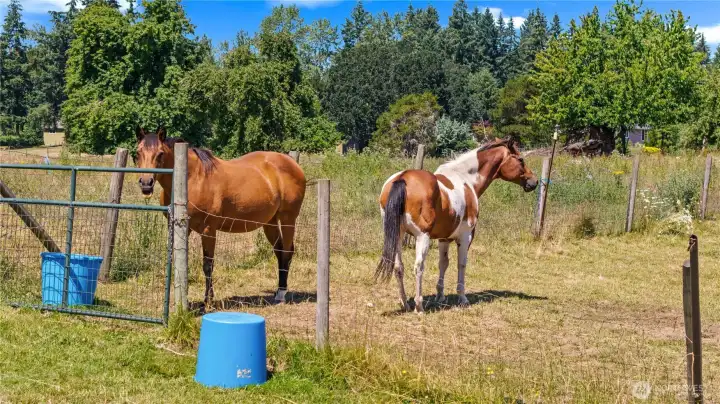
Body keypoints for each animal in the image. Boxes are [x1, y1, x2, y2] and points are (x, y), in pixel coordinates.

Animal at [134, 126, 306, 307]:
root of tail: (292, 163)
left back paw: (281, 294)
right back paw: (278, 291)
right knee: (279, 251)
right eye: (137, 153)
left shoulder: (208, 230)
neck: (192, 179)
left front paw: (207, 302)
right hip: (270, 223)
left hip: (288, 220)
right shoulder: (180, 227)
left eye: (160, 153)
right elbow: (179, 262)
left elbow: (208, 264)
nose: (146, 184)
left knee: (286, 251)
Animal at [376, 137, 538, 313]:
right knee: (418, 267)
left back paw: (405, 303)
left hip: (397, 235)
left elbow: (443, 263)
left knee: (398, 267)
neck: (466, 179)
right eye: (520, 159)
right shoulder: (465, 237)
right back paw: (419, 306)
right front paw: (463, 298)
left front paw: (440, 296)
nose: (534, 181)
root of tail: (402, 178)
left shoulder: (444, 239)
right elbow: (461, 264)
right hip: (422, 237)